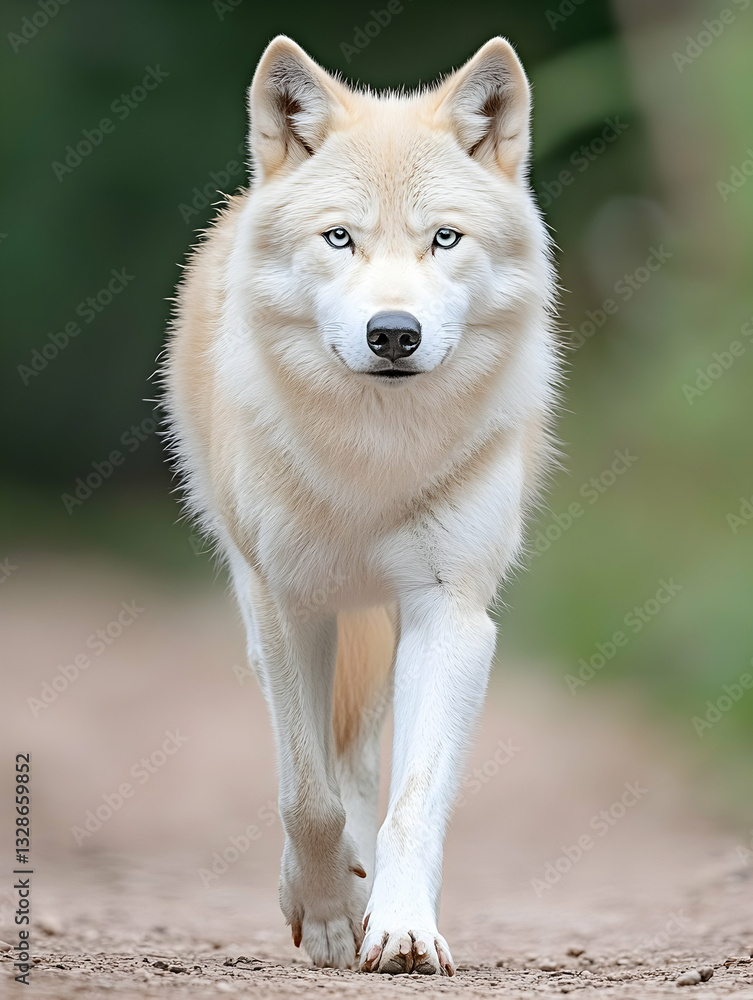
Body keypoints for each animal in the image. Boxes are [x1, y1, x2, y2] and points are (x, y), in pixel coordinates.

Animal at [163, 34, 559, 975]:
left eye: (443, 239)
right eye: (339, 238)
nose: (393, 334)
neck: (371, 458)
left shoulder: (450, 614)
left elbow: (410, 801)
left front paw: (401, 927)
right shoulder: (288, 605)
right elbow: (305, 797)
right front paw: (330, 916)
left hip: (382, 621)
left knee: (363, 764)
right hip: (270, 604)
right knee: (321, 769)